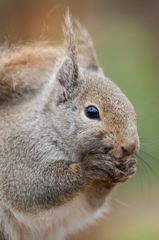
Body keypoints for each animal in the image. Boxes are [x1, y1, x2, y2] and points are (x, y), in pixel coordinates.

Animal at [0, 12, 139, 240]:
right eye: (92, 112)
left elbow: (87, 206)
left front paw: (123, 170)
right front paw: (89, 167)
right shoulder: (19, 158)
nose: (131, 147)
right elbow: (34, 188)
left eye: (132, 108)